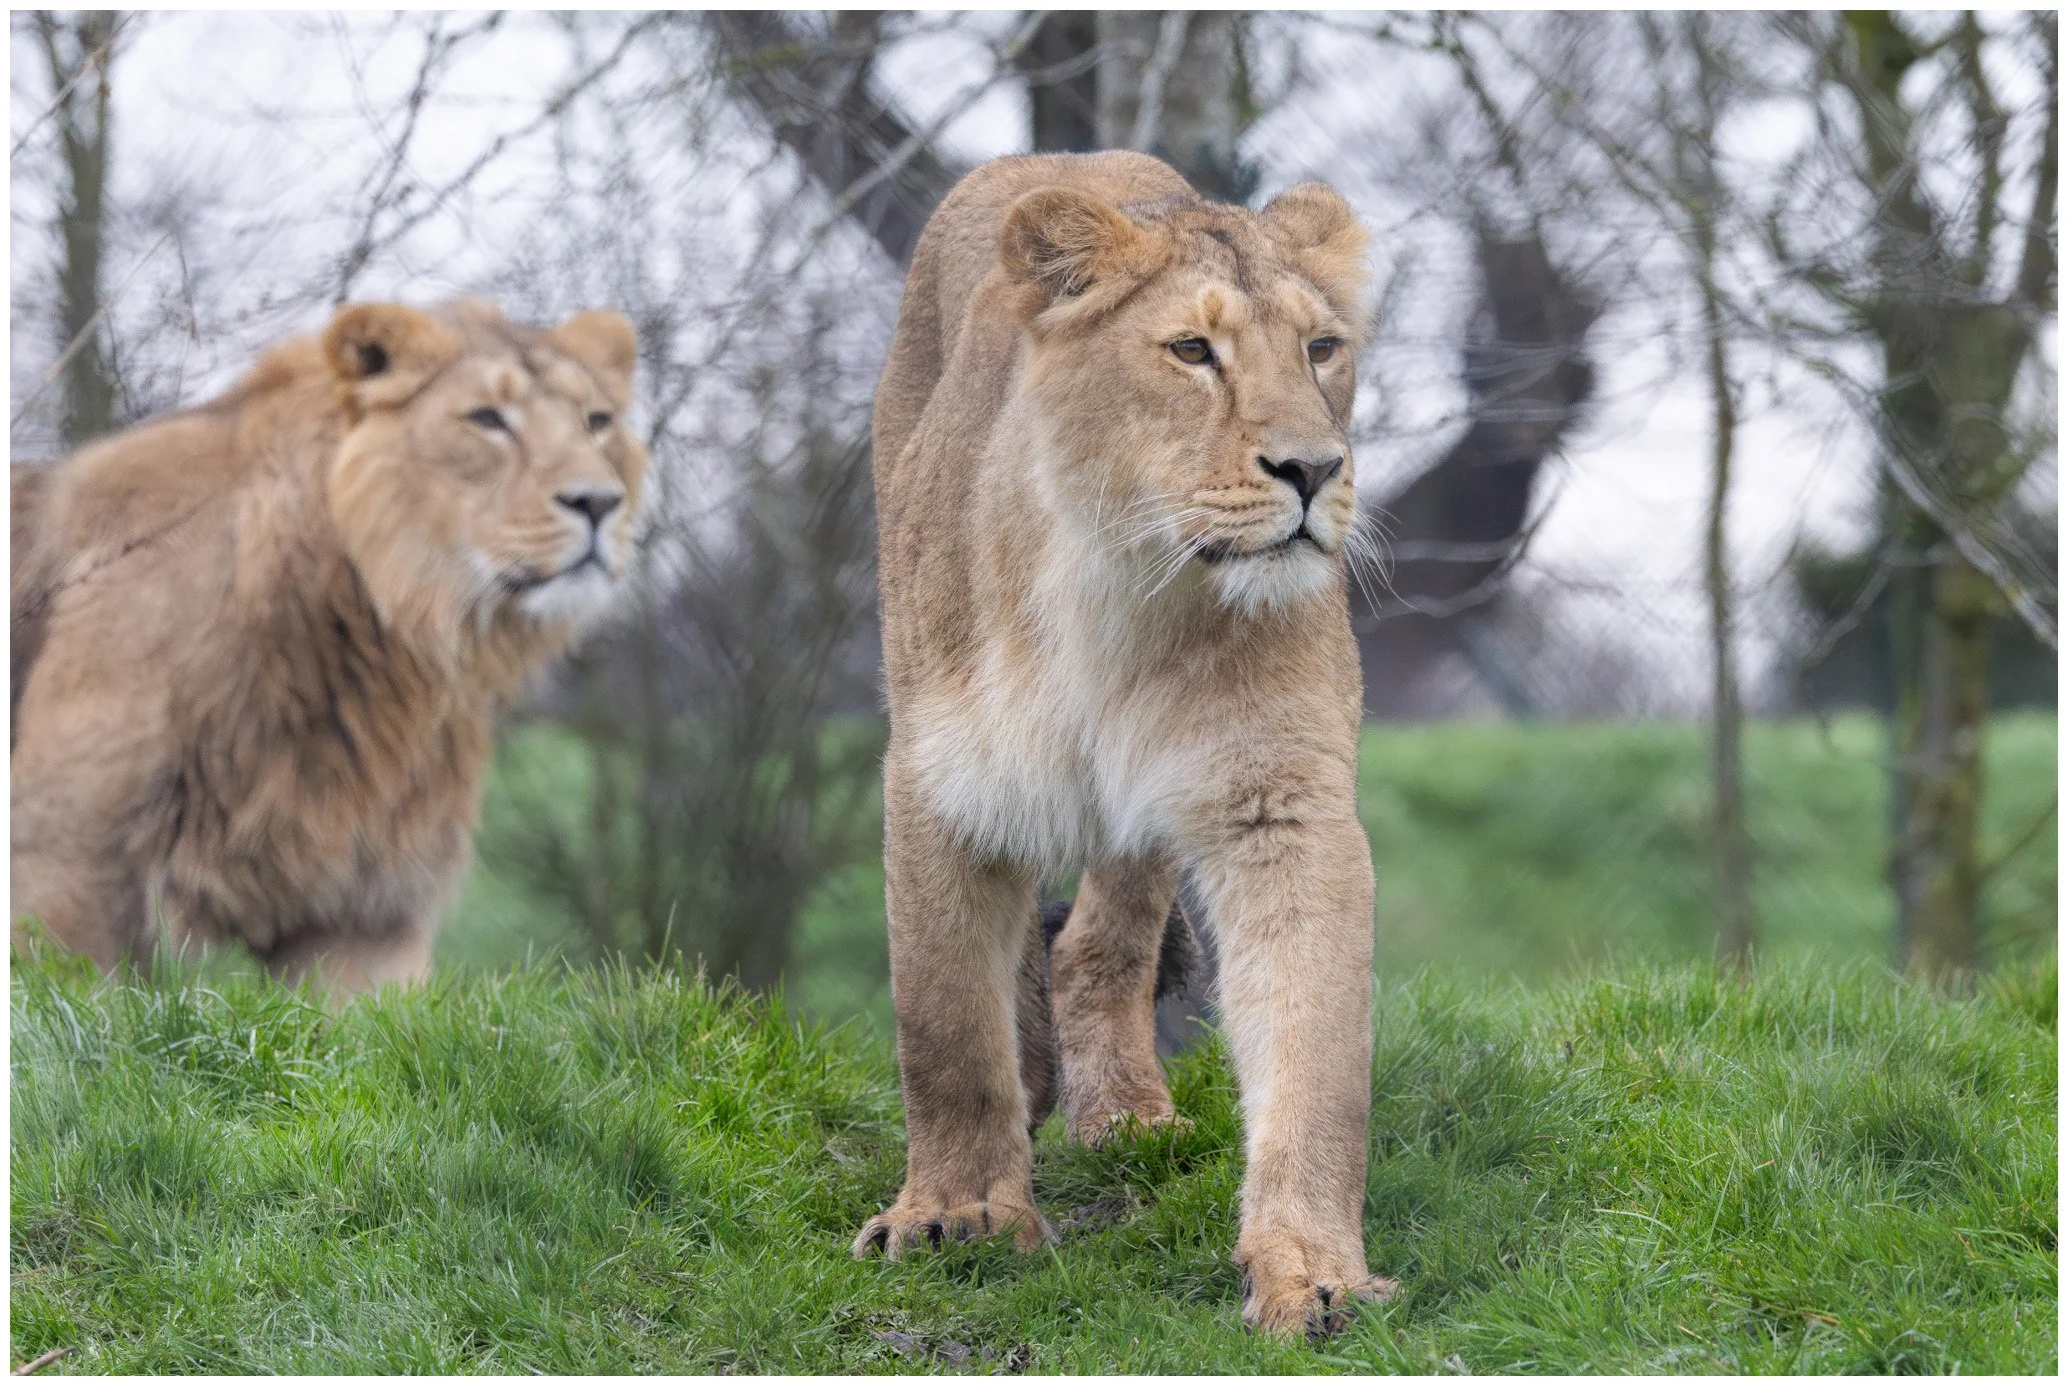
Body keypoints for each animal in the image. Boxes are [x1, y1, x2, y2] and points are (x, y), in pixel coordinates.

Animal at [856, 149, 1394, 1341]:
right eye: (1192, 351)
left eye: (1320, 349)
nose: (1313, 469)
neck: (1126, 591)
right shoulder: (937, 780)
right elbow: (944, 1025)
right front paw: (955, 1213)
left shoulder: (1280, 805)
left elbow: (1315, 1055)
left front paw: (1312, 1270)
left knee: (1096, 947)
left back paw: (1125, 1118)